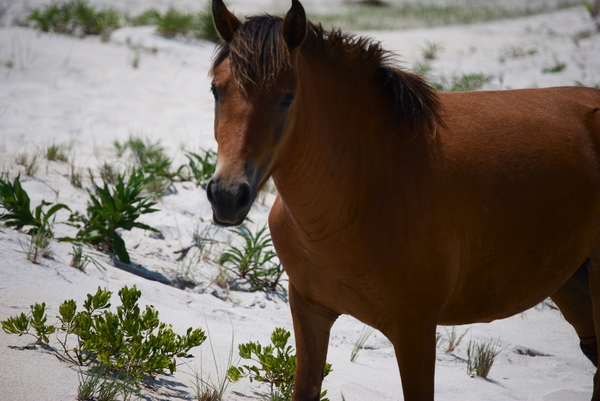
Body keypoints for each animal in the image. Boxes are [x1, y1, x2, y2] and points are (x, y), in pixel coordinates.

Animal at [206, 0, 600, 396]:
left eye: (288, 97)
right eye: (215, 90)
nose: (227, 195)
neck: (358, 194)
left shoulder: (415, 331)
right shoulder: (310, 310)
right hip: (573, 285)